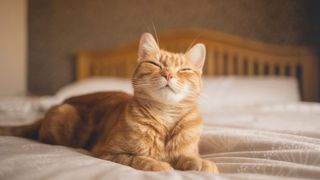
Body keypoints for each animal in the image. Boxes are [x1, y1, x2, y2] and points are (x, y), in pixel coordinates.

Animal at [0, 32, 218, 173]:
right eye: (155, 64)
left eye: (184, 70)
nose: (169, 74)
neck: (165, 117)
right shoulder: (108, 152)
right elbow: (139, 159)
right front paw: (160, 165)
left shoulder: (186, 151)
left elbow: (190, 158)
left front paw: (201, 163)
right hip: (64, 117)